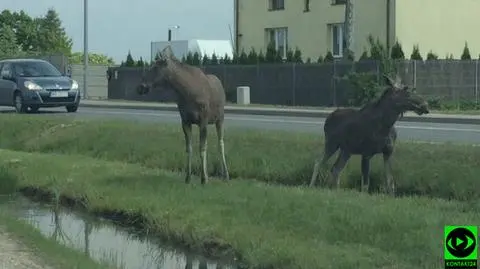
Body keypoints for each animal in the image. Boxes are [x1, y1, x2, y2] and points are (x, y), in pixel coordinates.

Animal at [138, 46, 230, 184]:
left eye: (155, 67)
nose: (140, 87)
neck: (186, 91)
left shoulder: (203, 120)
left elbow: (202, 148)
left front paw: (204, 178)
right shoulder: (185, 121)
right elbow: (189, 148)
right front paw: (188, 177)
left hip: (220, 119)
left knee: (221, 144)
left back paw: (226, 175)